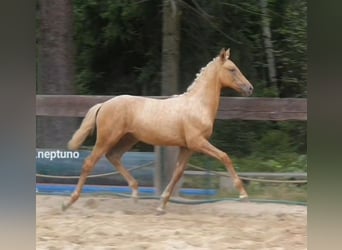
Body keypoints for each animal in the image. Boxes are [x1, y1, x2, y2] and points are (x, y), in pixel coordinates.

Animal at [62, 48, 254, 213]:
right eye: (232, 69)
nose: (250, 88)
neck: (197, 105)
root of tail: (103, 104)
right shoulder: (197, 142)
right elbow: (224, 156)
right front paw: (243, 194)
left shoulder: (187, 147)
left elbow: (177, 173)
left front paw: (161, 205)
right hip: (107, 139)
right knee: (89, 163)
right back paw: (69, 201)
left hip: (128, 139)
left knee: (114, 157)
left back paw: (135, 193)